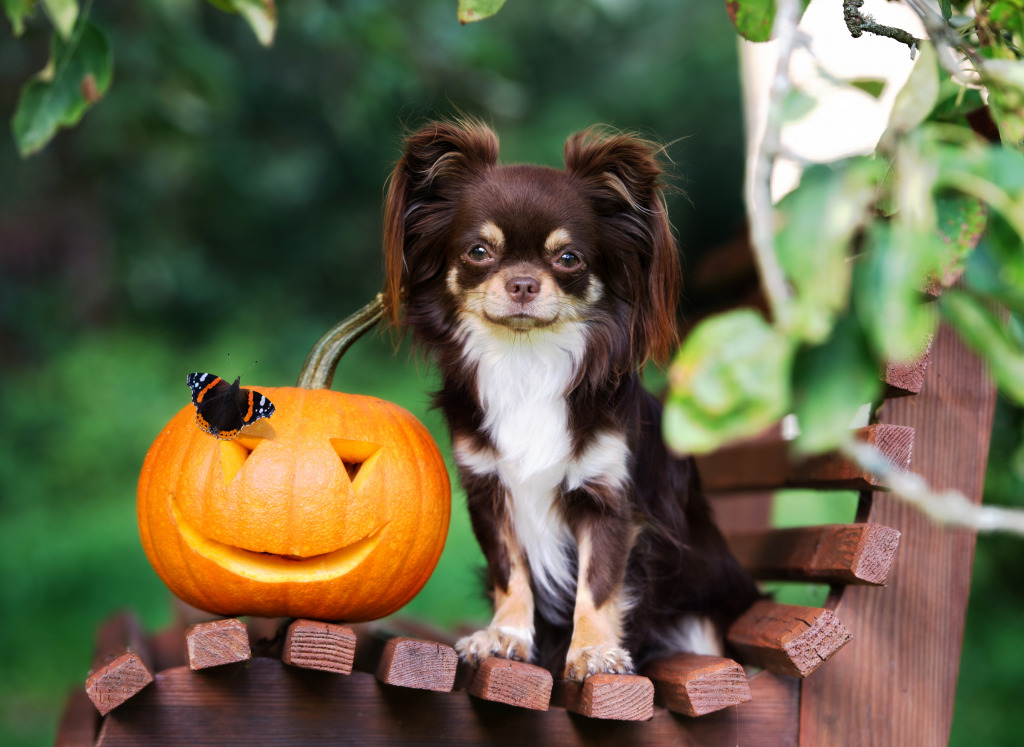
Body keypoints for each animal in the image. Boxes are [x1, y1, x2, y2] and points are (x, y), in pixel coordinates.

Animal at [380, 119, 757, 680]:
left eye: (567, 259)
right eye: (479, 252)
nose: (522, 283)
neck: (527, 362)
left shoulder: (608, 501)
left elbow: (596, 585)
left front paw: (593, 651)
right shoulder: (490, 494)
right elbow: (510, 573)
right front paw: (505, 636)